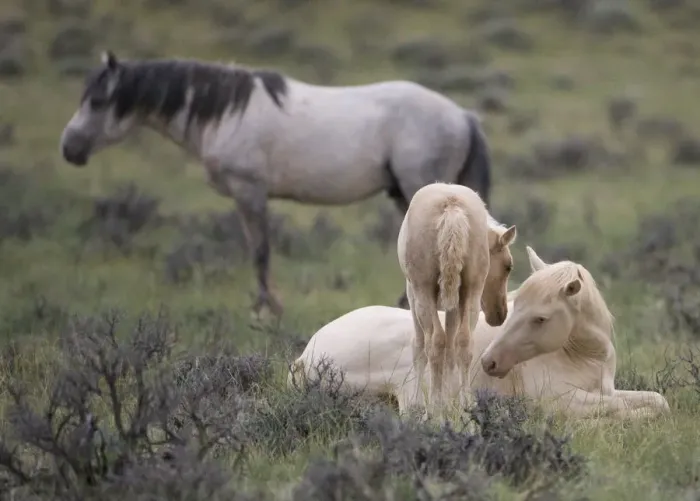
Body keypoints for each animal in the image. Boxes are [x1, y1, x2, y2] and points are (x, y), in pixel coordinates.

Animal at [59, 50, 495, 319]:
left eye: (97, 101)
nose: (69, 148)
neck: (225, 112)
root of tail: (463, 116)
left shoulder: (249, 191)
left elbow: (260, 252)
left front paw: (267, 309)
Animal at [289, 246, 670, 420]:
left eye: (541, 318)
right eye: (516, 307)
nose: (490, 363)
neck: (584, 355)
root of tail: (304, 358)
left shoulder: (606, 390)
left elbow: (657, 402)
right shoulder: (559, 399)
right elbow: (623, 411)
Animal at [396, 182, 516, 415]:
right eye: (508, 266)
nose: (500, 314)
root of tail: (452, 208)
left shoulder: (412, 293)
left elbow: (419, 346)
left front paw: (419, 404)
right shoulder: (455, 303)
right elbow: (451, 352)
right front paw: (450, 401)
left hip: (424, 293)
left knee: (435, 342)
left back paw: (434, 409)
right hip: (471, 291)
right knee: (463, 343)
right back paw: (465, 406)